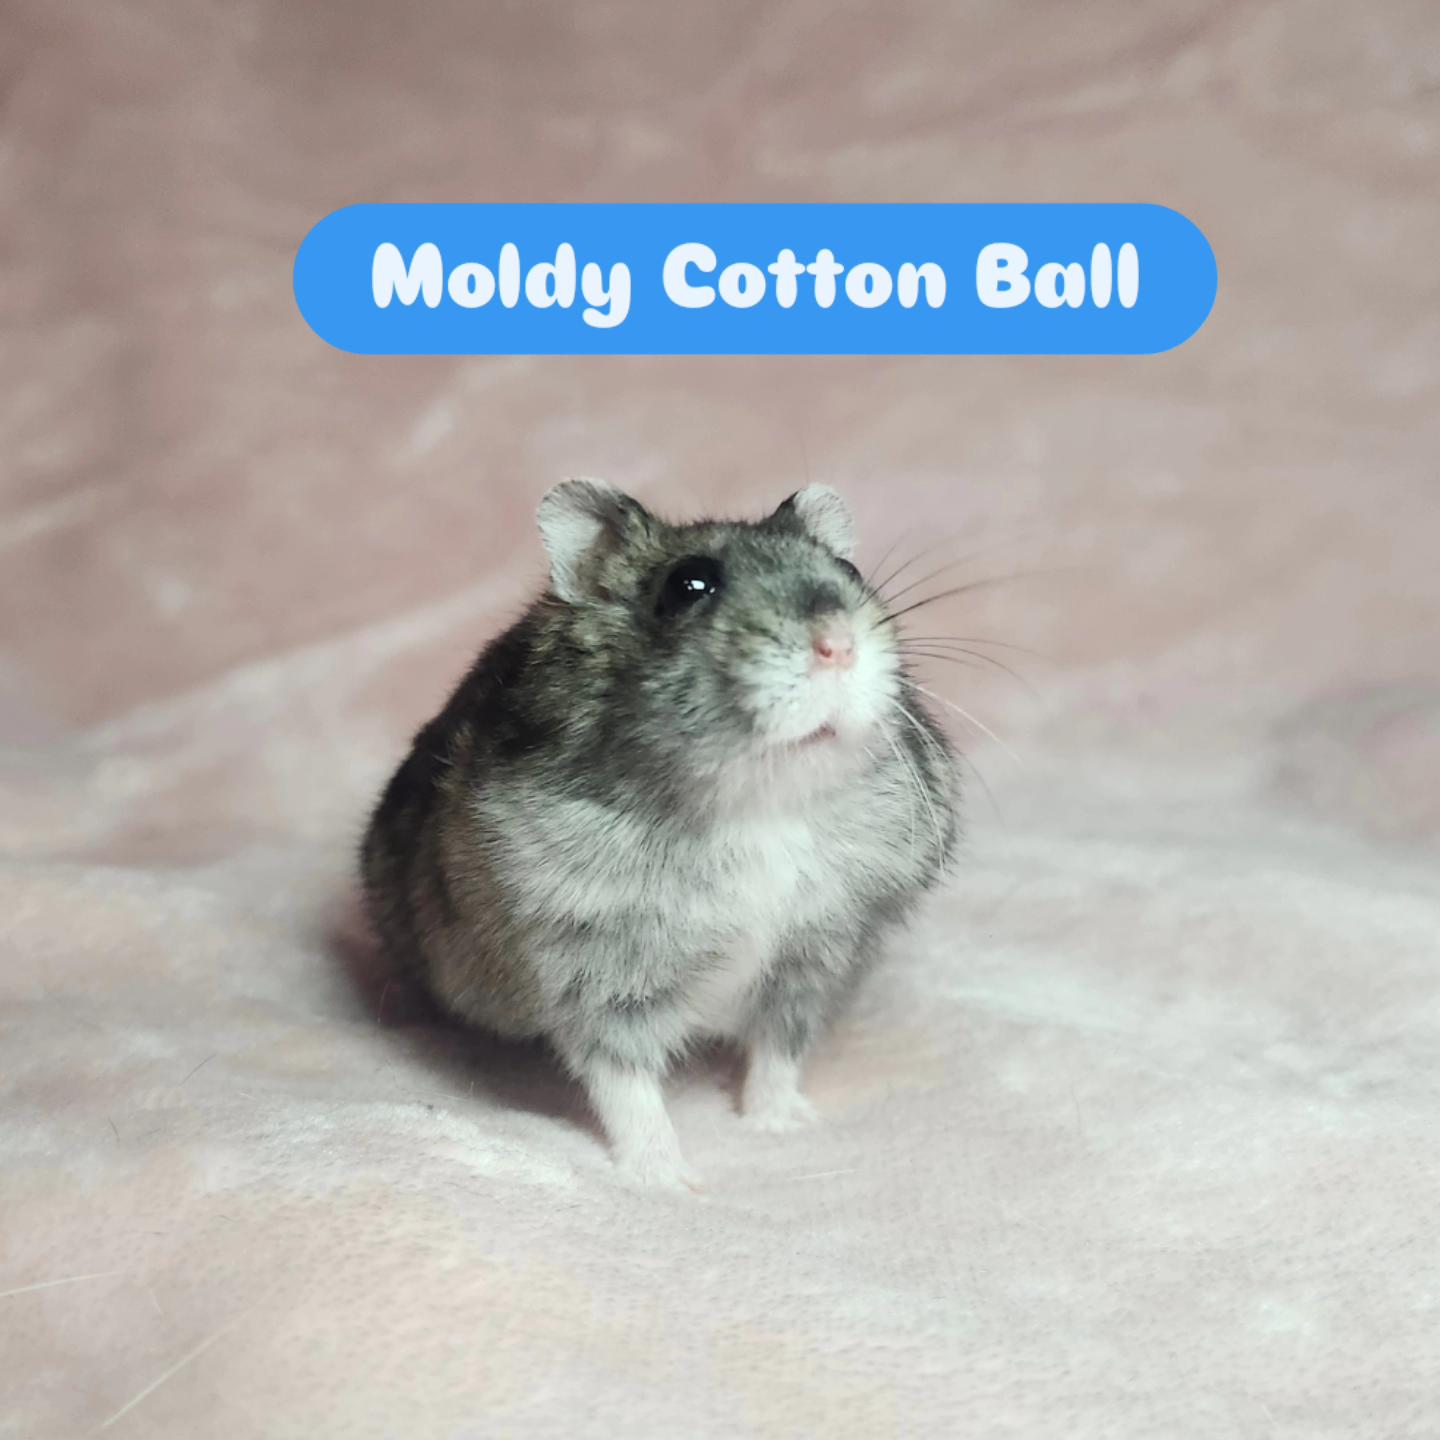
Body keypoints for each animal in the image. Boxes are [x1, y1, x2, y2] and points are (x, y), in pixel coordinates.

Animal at [361, 480, 958, 1188]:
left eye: (850, 570)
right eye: (688, 585)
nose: (838, 644)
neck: (759, 804)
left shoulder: (814, 957)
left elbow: (778, 1051)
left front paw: (783, 1126)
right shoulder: (592, 972)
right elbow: (625, 1084)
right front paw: (669, 1181)